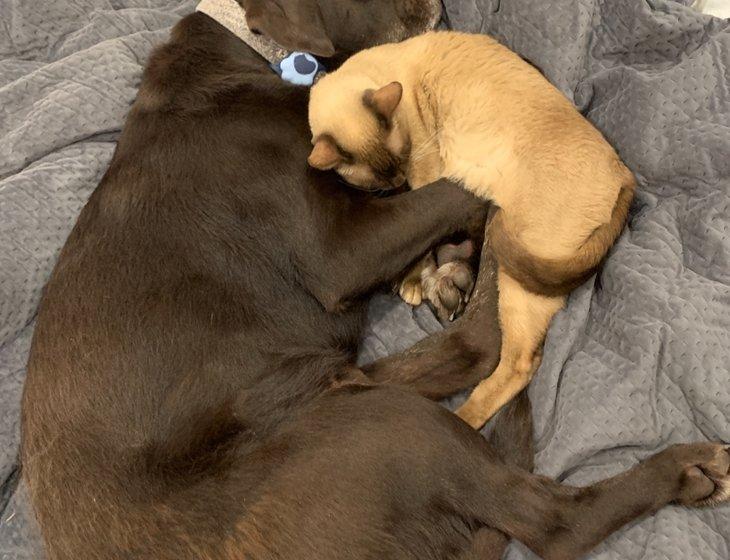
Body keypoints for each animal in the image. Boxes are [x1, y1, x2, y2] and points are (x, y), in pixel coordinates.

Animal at [308, 30, 632, 428]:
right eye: (380, 181)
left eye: (401, 159)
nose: (398, 181)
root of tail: (624, 174)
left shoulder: (424, 175)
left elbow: (418, 244)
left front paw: (413, 283)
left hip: (514, 278)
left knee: (519, 365)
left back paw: (463, 421)